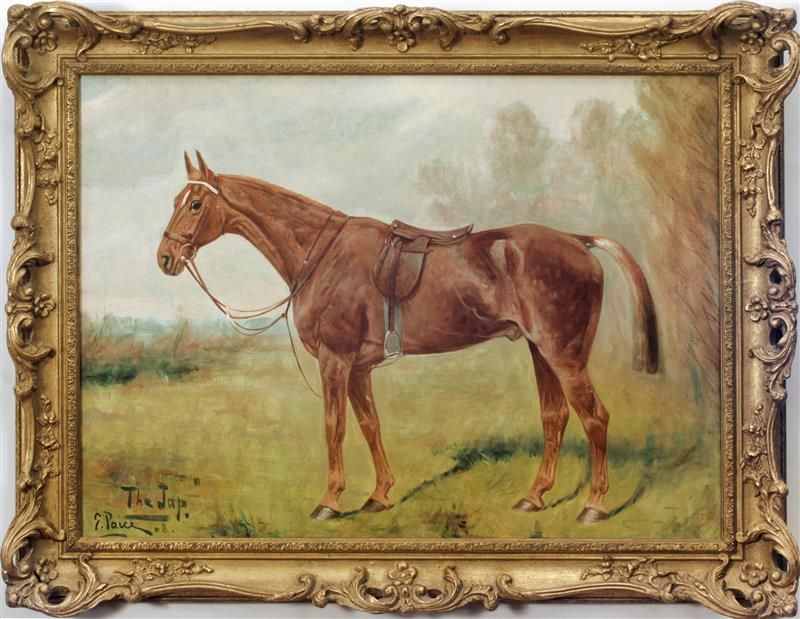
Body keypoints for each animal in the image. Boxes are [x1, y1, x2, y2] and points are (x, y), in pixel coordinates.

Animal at [157, 151, 659, 525]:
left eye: (195, 204)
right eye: (177, 199)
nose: (165, 257)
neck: (323, 255)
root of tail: (578, 241)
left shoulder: (335, 361)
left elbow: (334, 426)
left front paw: (330, 501)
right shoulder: (358, 367)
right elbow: (370, 425)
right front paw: (379, 495)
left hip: (563, 354)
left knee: (595, 418)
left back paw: (594, 506)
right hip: (542, 351)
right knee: (555, 417)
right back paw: (533, 497)